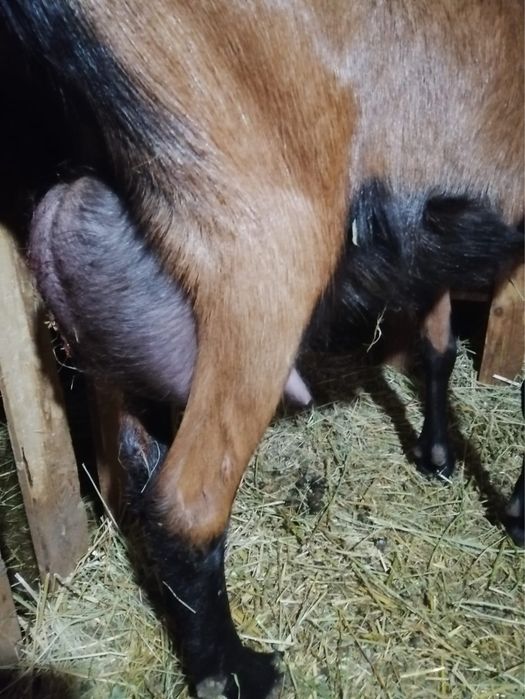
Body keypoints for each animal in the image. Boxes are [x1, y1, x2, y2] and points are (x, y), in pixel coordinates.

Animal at [1, 2, 523, 697]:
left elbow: (437, 341)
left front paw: (438, 455)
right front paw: (516, 514)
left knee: (135, 456)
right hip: (269, 243)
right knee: (187, 500)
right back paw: (233, 673)